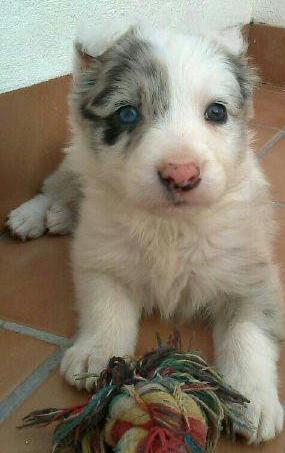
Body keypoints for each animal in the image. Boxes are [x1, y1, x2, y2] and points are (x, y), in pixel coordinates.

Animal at [7, 23, 282, 440]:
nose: (181, 176)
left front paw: (253, 398)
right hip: (78, 158)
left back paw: (58, 216)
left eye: (216, 112)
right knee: (59, 183)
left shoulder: (253, 273)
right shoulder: (100, 254)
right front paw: (97, 352)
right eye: (127, 113)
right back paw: (36, 214)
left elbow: (247, 332)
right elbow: (106, 303)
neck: (170, 225)